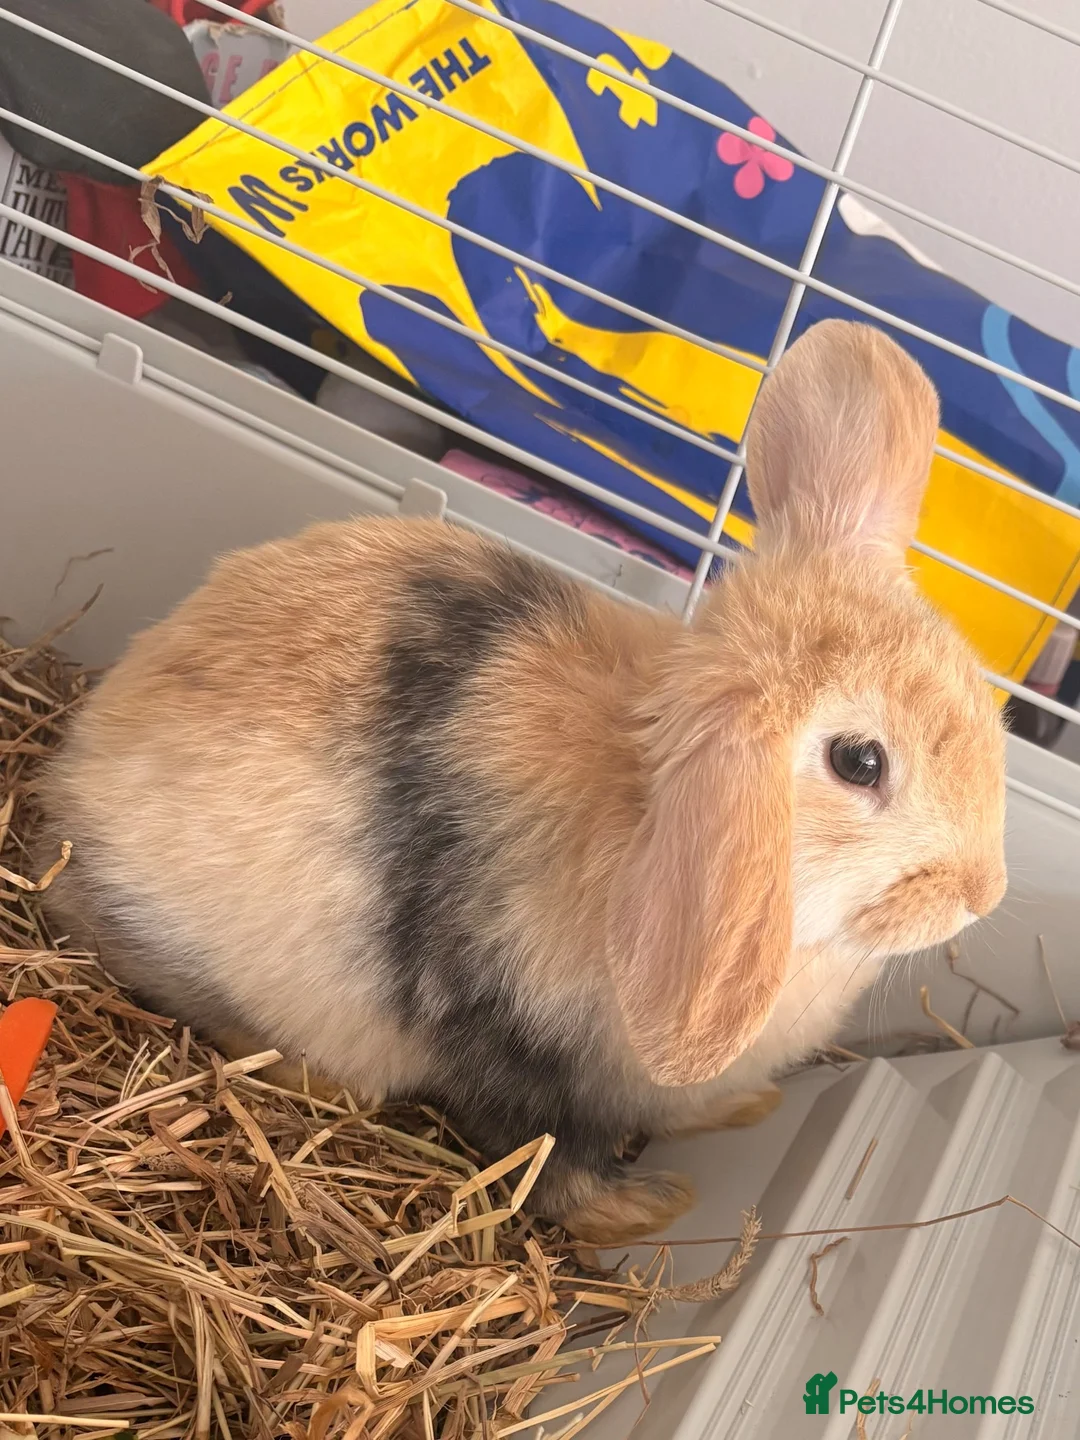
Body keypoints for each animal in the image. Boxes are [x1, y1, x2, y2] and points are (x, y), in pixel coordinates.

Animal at [37, 320, 1007, 1245]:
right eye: (859, 762)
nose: (984, 894)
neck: (645, 797)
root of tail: (70, 779)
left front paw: (749, 1106)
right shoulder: (512, 1049)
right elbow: (545, 1158)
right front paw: (648, 1208)